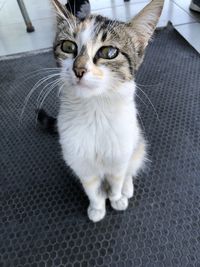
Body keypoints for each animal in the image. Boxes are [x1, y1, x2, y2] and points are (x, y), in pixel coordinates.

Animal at [38, 0, 164, 223]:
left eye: (109, 52)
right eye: (68, 46)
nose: (78, 69)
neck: (95, 112)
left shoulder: (120, 156)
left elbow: (117, 180)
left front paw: (117, 199)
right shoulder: (81, 164)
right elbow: (91, 189)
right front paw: (97, 208)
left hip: (137, 142)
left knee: (132, 166)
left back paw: (127, 189)